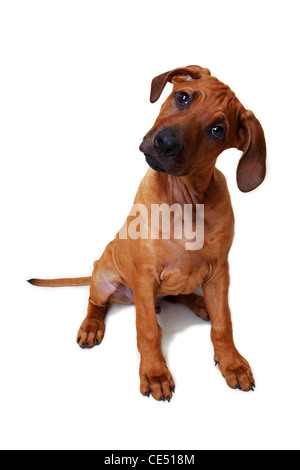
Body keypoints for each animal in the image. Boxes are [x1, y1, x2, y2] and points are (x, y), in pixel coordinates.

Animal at [29, 66, 266, 402]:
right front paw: (155, 374)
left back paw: (199, 304)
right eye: (183, 97)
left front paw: (231, 363)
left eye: (217, 130)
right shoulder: (144, 275)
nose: (166, 141)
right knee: (96, 302)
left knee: (177, 296)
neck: (186, 201)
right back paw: (91, 326)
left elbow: (223, 324)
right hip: (103, 278)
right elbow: (149, 329)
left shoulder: (220, 272)